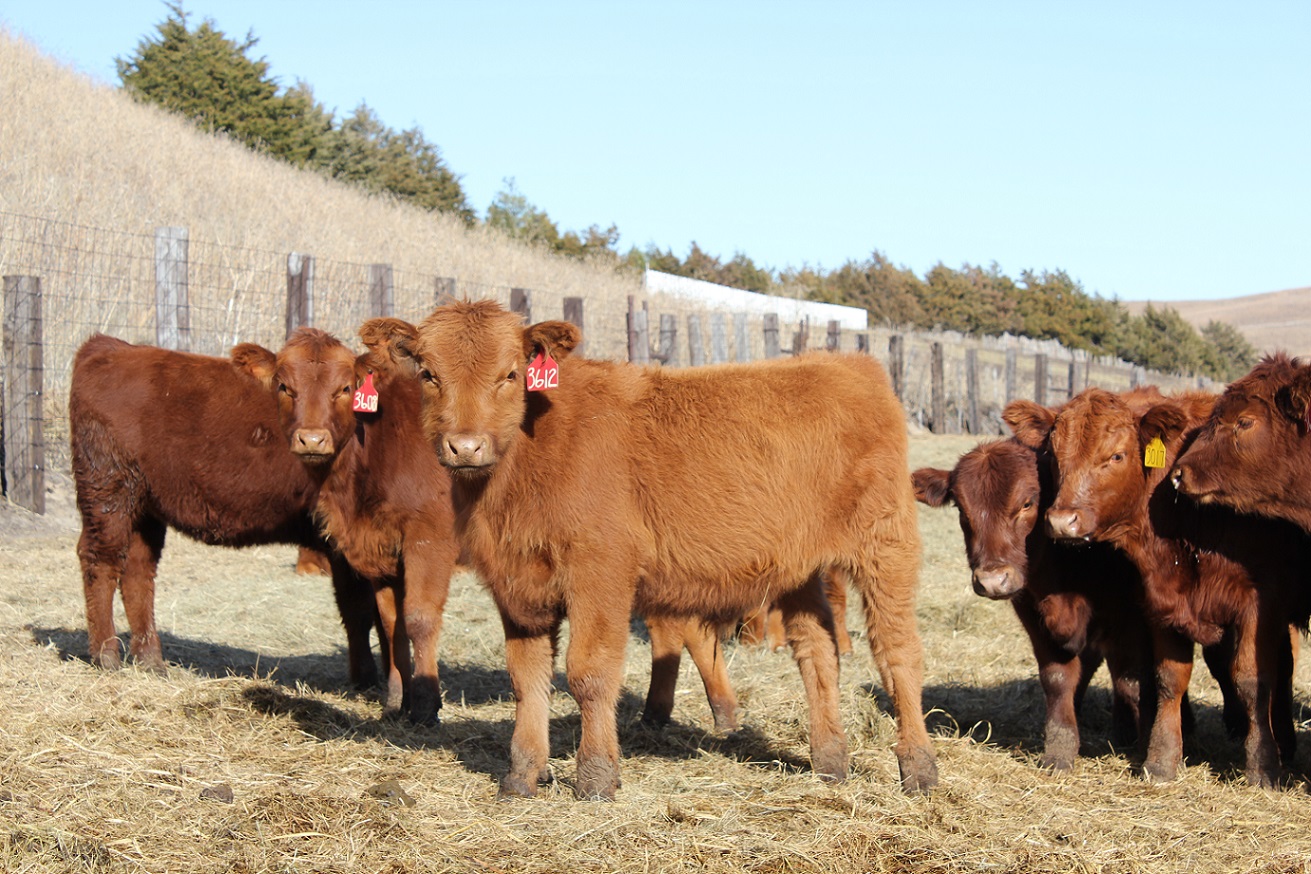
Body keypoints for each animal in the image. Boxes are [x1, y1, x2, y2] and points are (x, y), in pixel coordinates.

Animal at [364, 302, 938, 801]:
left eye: (510, 374)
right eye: (428, 374)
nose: (465, 446)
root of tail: (848, 364)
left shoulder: (600, 572)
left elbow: (589, 673)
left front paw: (596, 778)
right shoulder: (516, 584)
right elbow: (527, 680)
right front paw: (522, 776)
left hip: (886, 545)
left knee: (898, 652)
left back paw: (918, 768)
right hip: (799, 567)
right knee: (817, 650)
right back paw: (830, 760)